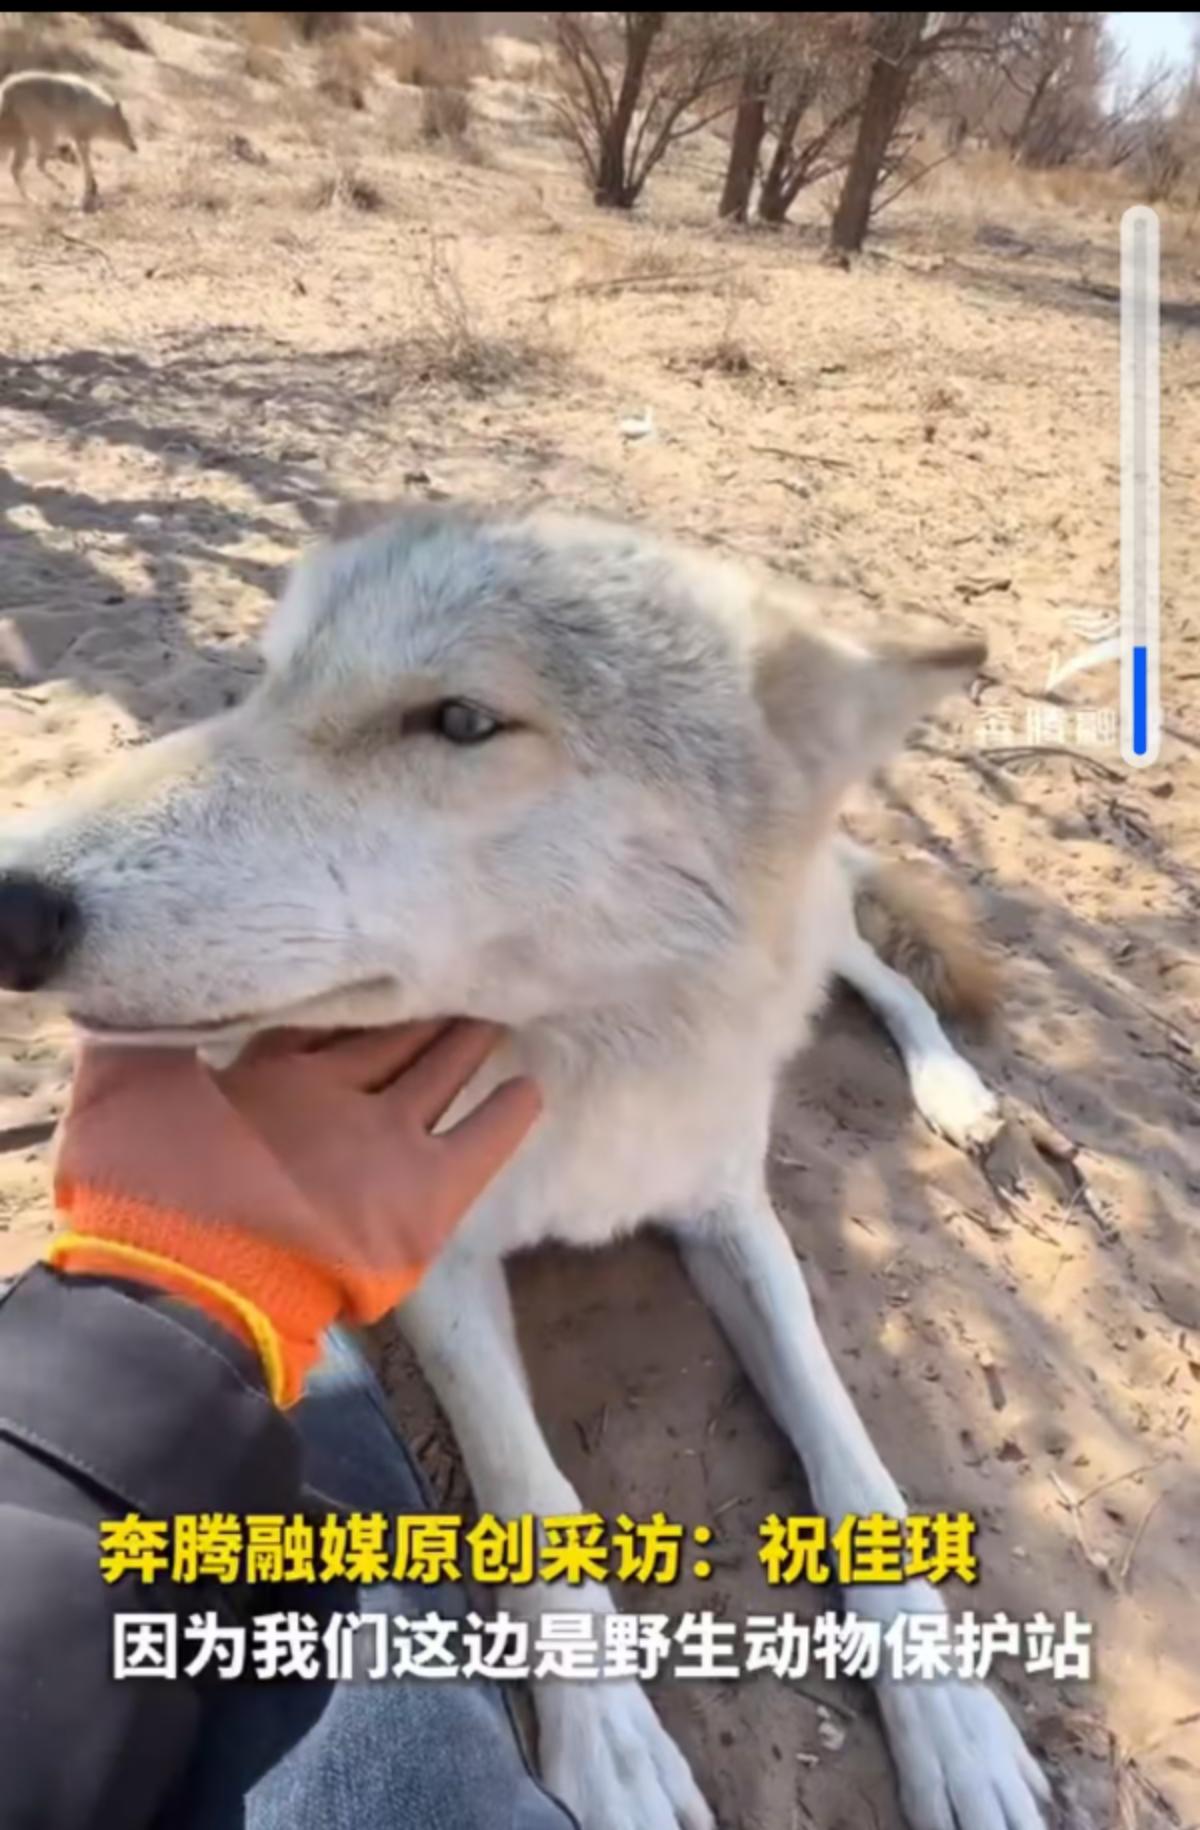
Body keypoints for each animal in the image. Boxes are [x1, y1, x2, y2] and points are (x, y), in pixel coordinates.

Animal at [0, 71, 137, 212]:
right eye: (125, 128)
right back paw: (59, 186)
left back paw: (33, 197)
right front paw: (91, 188)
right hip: (46, 135)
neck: (97, 111)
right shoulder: (80, 138)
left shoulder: (80, 138)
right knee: (38, 164)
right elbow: (86, 163)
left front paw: (93, 186)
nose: (134, 147)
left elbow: (86, 163)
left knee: (17, 169)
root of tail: (6, 90)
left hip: (26, 142)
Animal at [0, 505, 1043, 1830]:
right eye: (270, 682)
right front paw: (615, 1747)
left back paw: (953, 1090)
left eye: (458, 721)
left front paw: (951, 1714)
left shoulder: (731, 1215)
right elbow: (532, 1491)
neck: (578, 1080)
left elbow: (855, 1463)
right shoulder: (434, 1251)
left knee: (892, 981)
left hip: (826, 943)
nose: (7, 902)